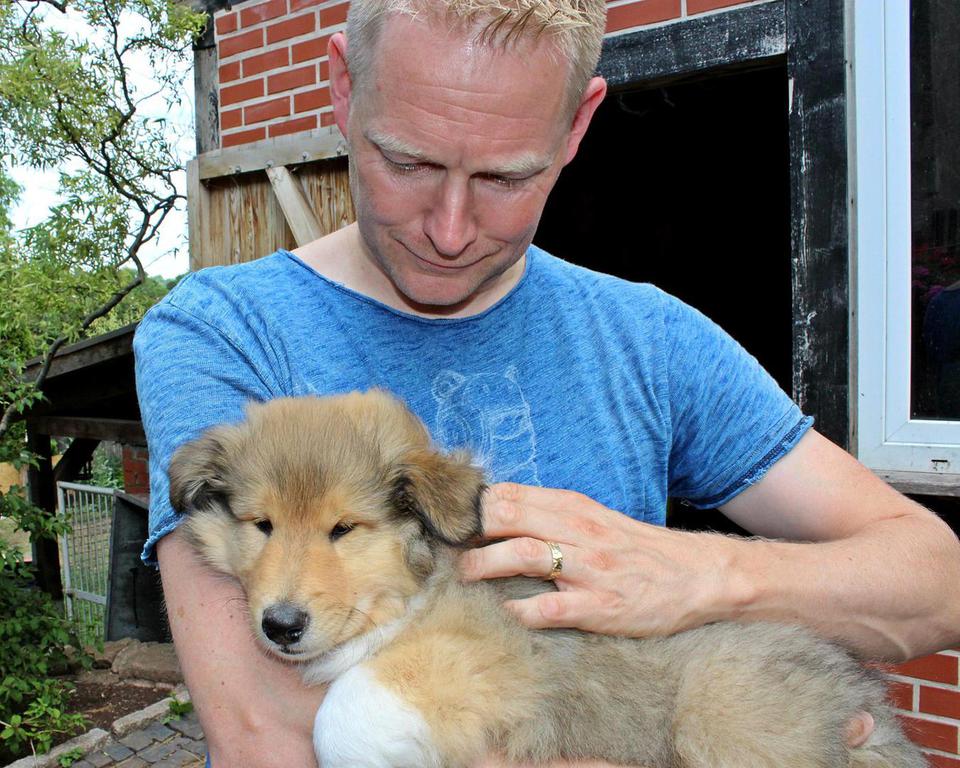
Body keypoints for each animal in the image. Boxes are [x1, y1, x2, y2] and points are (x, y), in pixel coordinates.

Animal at [168, 390, 927, 768]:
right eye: (262, 524)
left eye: (344, 529)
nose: (280, 626)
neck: (419, 582)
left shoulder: (497, 656)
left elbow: (347, 712)